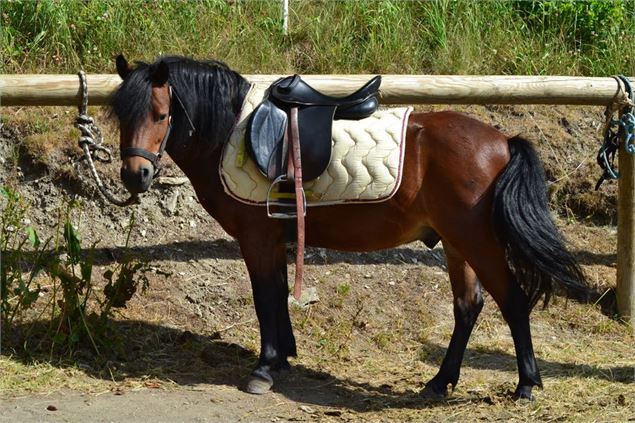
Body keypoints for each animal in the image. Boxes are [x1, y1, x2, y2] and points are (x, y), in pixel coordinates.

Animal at [112, 55, 588, 400]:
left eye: (160, 114)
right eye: (121, 115)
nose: (135, 175)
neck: (232, 131)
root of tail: (503, 141)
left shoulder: (257, 238)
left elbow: (265, 298)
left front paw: (264, 368)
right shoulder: (277, 238)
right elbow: (279, 295)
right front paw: (284, 357)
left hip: (477, 241)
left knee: (513, 300)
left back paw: (526, 384)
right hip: (457, 245)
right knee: (467, 307)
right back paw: (439, 382)